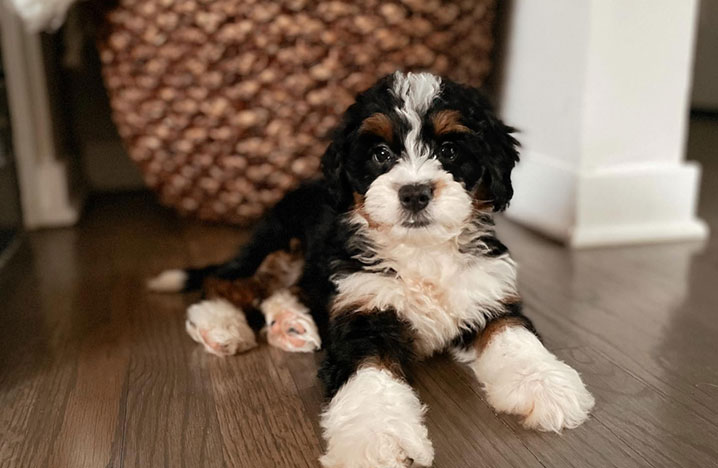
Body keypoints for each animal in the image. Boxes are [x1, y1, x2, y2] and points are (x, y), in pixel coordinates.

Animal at [148, 70, 596, 468]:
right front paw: (378, 440)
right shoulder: (361, 309)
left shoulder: (487, 292)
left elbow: (513, 334)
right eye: (381, 154)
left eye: (449, 151)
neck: (421, 251)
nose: (414, 193)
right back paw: (221, 325)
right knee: (224, 282)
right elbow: (370, 377)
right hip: (280, 240)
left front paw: (546, 384)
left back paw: (290, 324)